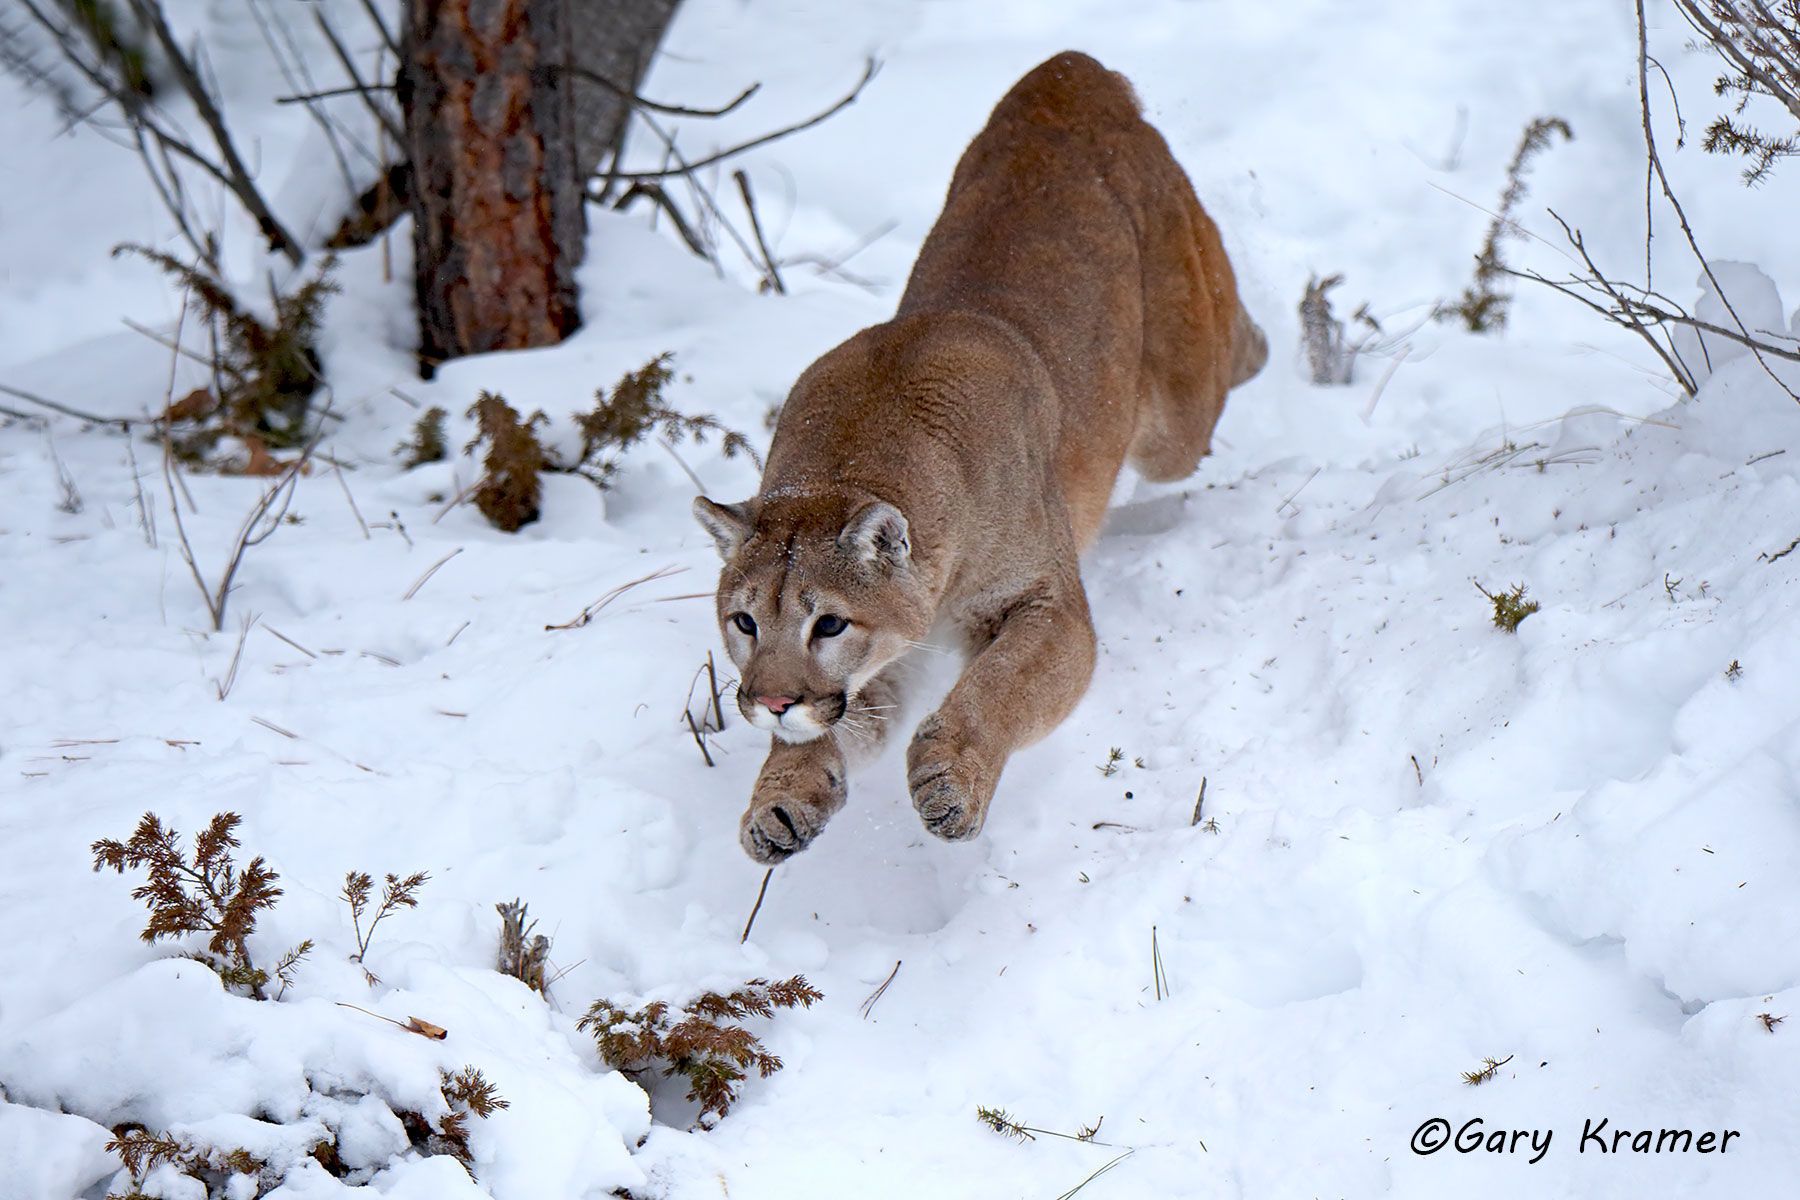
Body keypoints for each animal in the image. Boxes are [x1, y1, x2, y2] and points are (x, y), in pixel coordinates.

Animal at [694, 51, 1266, 863]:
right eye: (743, 622)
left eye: (828, 625)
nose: (772, 700)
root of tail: (1068, 70)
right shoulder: (885, 664)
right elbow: (832, 729)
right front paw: (780, 799)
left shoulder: (1047, 604)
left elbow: (999, 686)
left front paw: (950, 778)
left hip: (1175, 421)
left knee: (1233, 353)